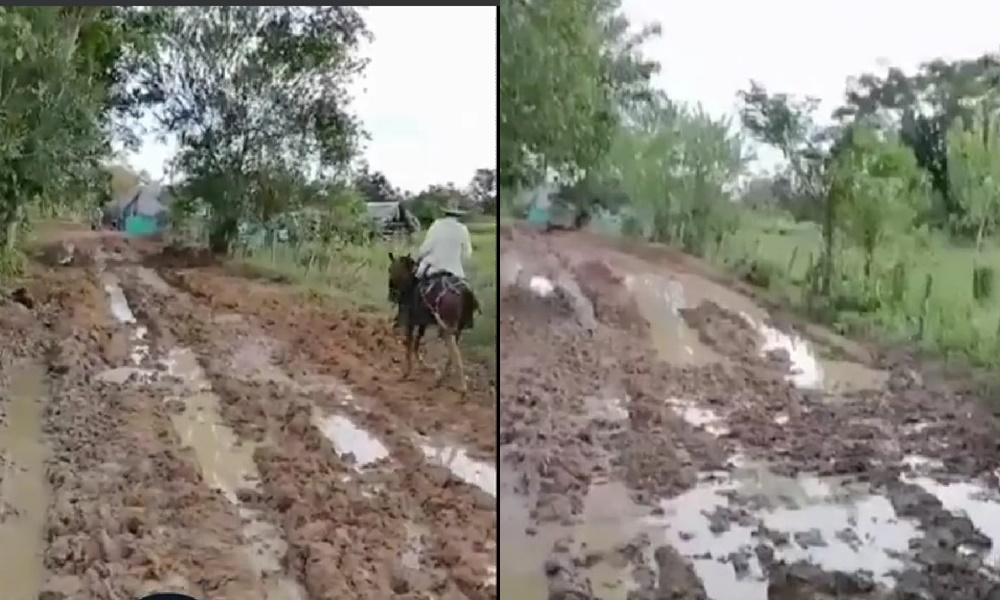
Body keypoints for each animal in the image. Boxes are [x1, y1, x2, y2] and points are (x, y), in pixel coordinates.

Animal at [386, 253, 480, 394]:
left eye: (390, 269)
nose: (391, 295)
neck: (412, 285)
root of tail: (466, 293)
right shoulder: (422, 323)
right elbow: (416, 344)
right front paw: (424, 365)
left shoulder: (410, 322)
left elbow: (409, 345)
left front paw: (407, 372)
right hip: (458, 329)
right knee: (453, 354)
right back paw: (442, 380)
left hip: (447, 329)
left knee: (455, 354)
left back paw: (461, 387)